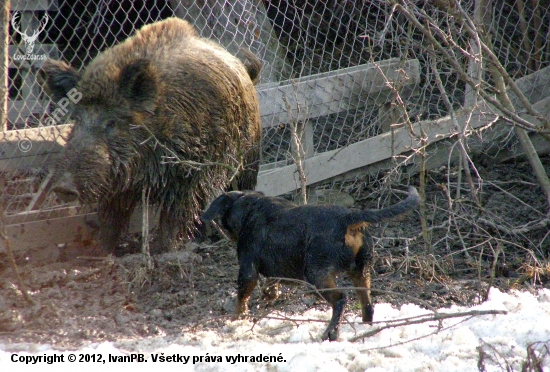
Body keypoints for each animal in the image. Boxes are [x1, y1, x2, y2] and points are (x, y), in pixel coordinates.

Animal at [203, 186, 422, 340]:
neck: (248, 207)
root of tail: (348, 218)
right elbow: (270, 287)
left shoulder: (247, 269)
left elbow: (241, 301)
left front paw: (236, 320)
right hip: (361, 271)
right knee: (367, 305)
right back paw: (364, 329)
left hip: (317, 275)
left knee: (340, 299)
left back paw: (330, 333)